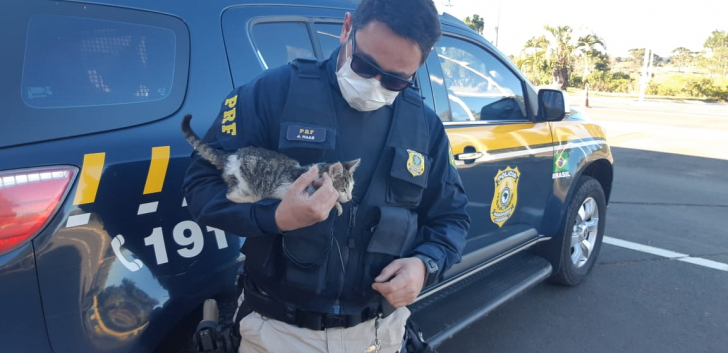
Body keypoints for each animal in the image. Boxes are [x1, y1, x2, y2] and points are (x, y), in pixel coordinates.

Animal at [182, 114, 358, 216]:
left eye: (351, 188)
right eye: (343, 189)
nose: (350, 197)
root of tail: (231, 156)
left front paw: (337, 205)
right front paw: (336, 203)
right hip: (246, 178)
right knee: (231, 195)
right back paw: (253, 198)